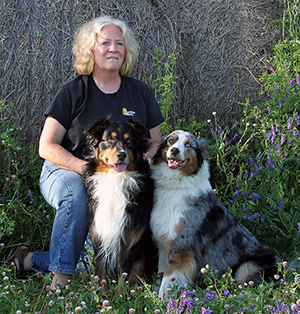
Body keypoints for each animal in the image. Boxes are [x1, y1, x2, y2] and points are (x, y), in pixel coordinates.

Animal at [150, 129, 282, 296]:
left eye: (188, 145)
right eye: (170, 141)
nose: (174, 150)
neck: (176, 184)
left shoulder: (181, 245)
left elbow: (168, 281)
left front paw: (161, 300)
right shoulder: (164, 242)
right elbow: (161, 274)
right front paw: (151, 295)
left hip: (248, 266)